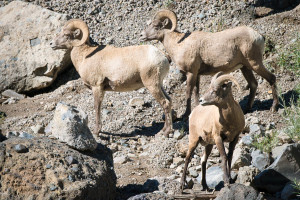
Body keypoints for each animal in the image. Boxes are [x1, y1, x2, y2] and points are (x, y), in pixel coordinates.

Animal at [141, 9, 278, 119]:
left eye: (156, 26)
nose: (142, 36)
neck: (178, 44)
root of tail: (259, 36)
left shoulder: (191, 73)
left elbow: (188, 93)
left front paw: (186, 114)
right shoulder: (197, 75)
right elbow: (196, 93)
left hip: (255, 63)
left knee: (271, 78)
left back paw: (273, 108)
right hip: (245, 67)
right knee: (253, 84)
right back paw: (247, 109)